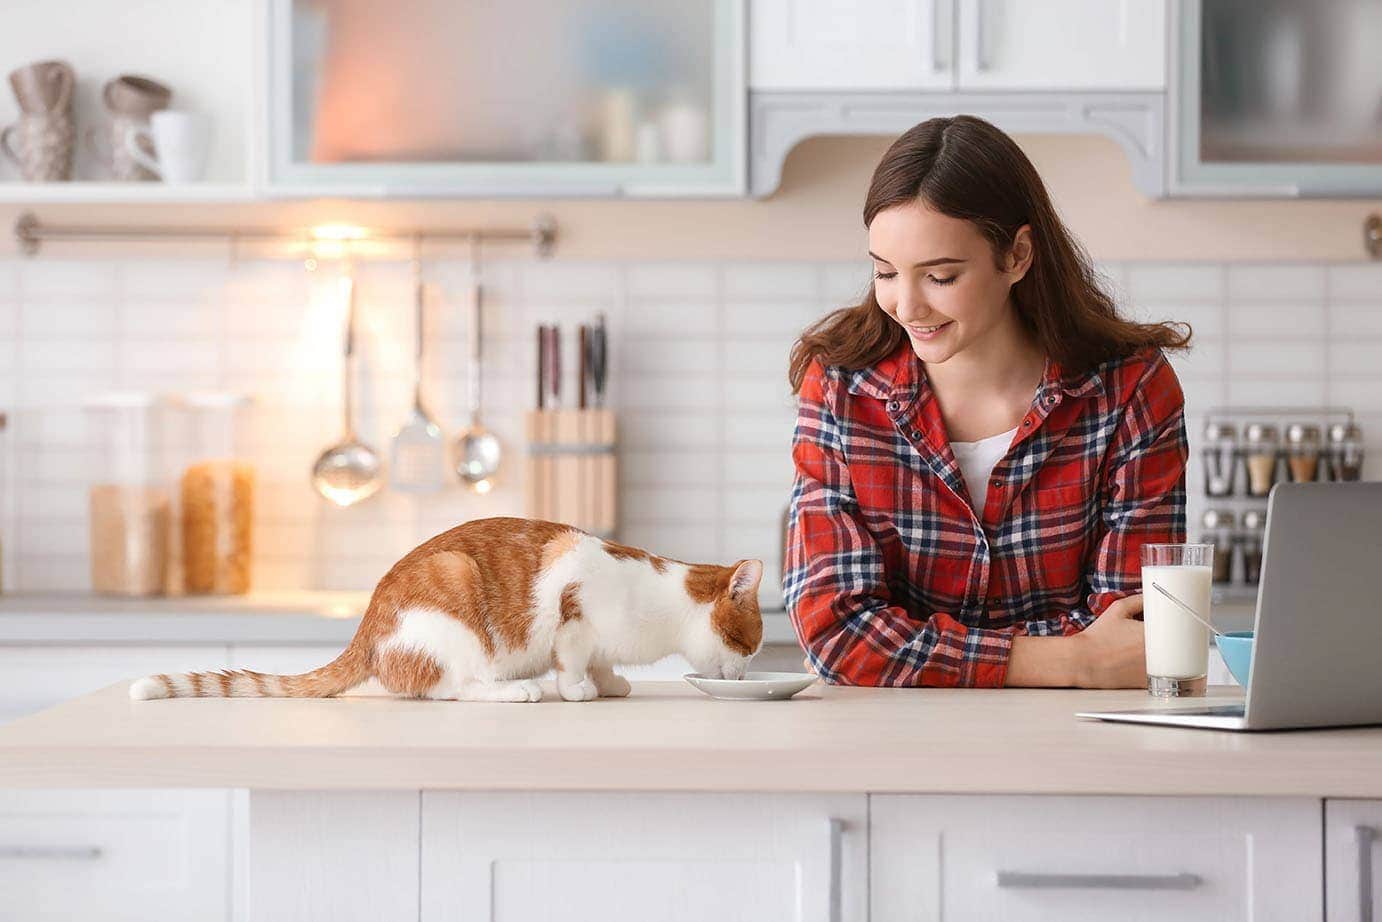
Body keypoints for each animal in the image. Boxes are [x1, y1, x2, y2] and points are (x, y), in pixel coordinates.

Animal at [129, 516, 768, 702]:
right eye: (749, 644)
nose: (746, 674)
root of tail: (367, 629)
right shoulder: (575, 609)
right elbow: (572, 659)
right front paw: (579, 689)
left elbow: (605, 664)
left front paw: (611, 683)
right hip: (454, 596)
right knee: (449, 688)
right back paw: (517, 691)